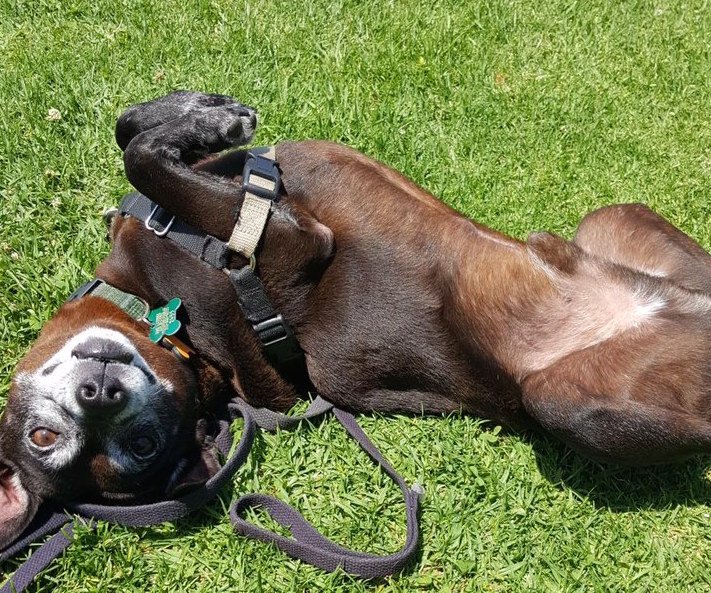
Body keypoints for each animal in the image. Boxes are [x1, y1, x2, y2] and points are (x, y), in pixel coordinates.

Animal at [1, 90, 711, 548]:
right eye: (48, 439)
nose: (100, 394)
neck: (161, 310)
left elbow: (130, 133)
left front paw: (202, 110)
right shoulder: (295, 241)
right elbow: (144, 158)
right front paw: (211, 123)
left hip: (611, 221)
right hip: (570, 409)